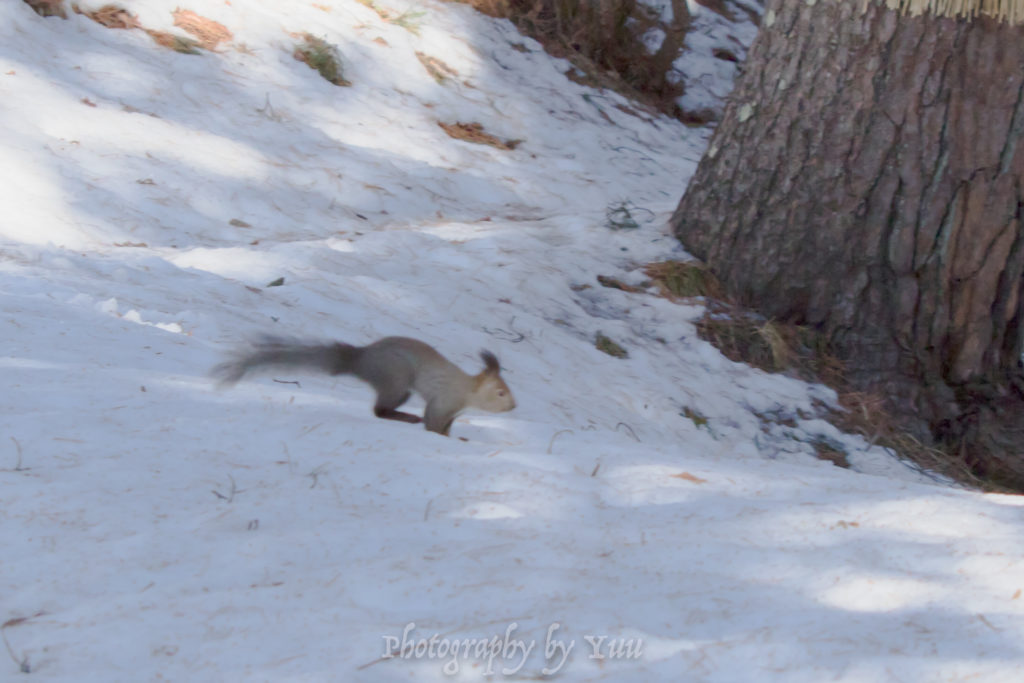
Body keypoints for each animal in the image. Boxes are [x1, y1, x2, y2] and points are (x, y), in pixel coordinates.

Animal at [208, 335, 516, 438]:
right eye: (500, 392)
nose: (514, 406)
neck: (468, 391)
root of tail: (361, 358)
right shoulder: (443, 401)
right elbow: (433, 423)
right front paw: (442, 438)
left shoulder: (453, 412)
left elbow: (447, 427)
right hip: (397, 380)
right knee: (379, 410)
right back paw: (406, 418)